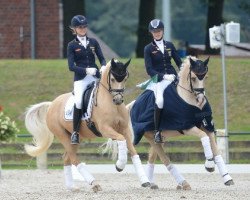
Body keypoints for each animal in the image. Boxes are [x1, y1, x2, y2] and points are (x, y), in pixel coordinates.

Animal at [24, 59, 150, 192]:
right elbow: (121, 140)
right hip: (62, 135)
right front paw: (119, 165)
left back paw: (72, 187)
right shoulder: (105, 129)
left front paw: (145, 181)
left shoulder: (124, 129)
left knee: (67, 158)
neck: (111, 103)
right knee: (73, 158)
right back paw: (94, 183)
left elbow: (133, 152)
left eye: (125, 78)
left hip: (75, 138)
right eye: (112, 79)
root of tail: (52, 104)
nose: (118, 100)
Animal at [127, 55, 234, 189]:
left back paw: (151, 183)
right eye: (193, 78)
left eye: (205, 77)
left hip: (161, 137)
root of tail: (135, 103)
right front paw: (209, 164)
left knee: (152, 157)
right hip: (150, 135)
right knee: (164, 159)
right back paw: (182, 183)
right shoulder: (187, 127)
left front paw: (227, 177)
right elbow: (203, 137)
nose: (200, 99)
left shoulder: (208, 126)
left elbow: (216, 150)